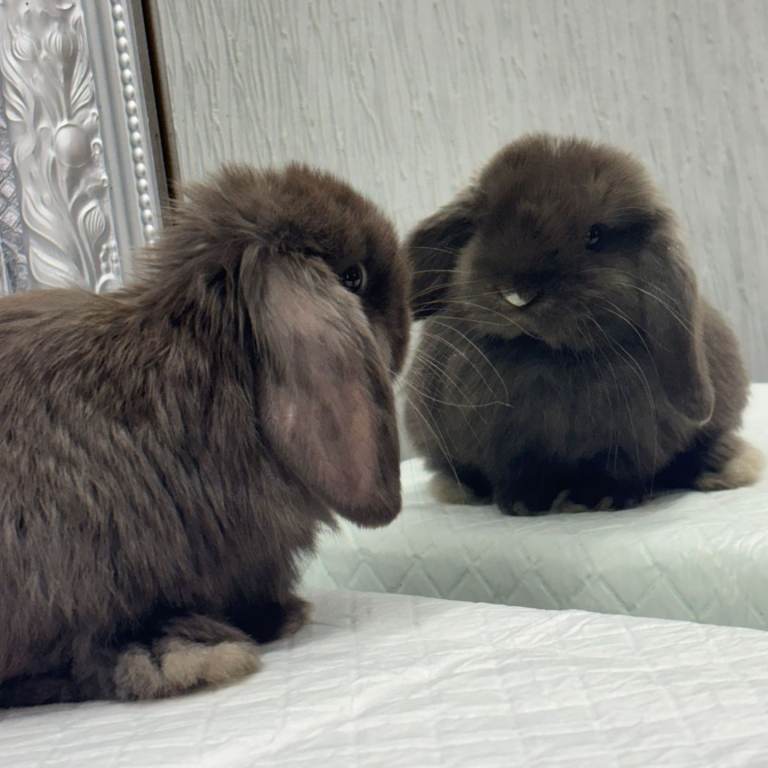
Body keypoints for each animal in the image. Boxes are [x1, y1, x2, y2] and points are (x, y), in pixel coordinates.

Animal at [404, 134, 763, 516]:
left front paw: (601, 499)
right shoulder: (503, 439)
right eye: (484, 226)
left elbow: (615, 468)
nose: (518, 293)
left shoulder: (630, 436)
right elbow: (519, 469)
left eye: (595, 235)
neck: (546, 354)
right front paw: (522, 504)